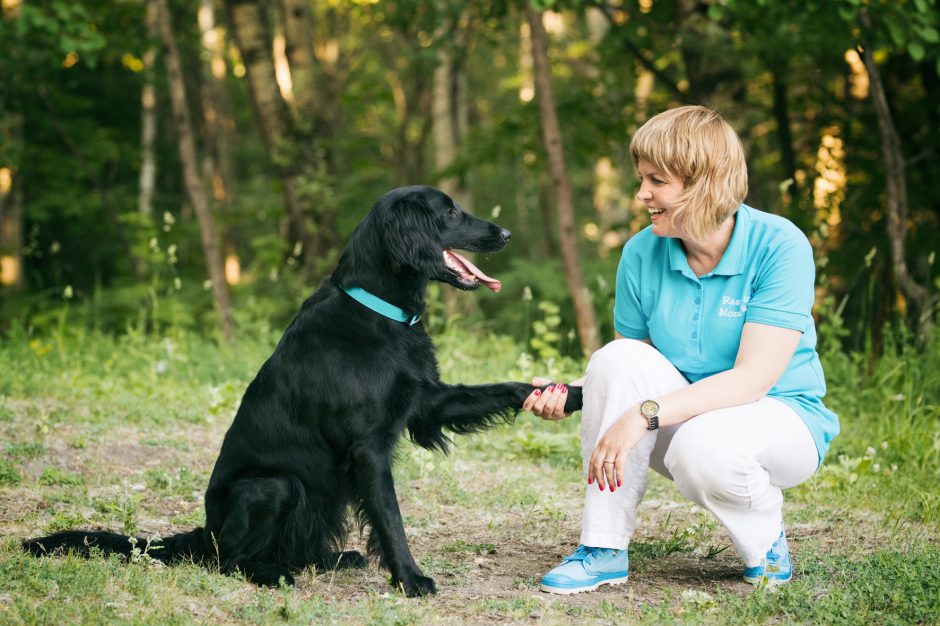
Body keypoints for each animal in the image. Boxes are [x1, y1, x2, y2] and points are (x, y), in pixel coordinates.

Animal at [23, 184, 580, 596]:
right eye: (448, 211)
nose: (505, 232)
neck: (379, 311)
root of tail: (206, 532)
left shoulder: (425, 403)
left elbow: (508, 386)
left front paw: (569, 392)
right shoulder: (369, 448)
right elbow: (391, 518)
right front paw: (410, 578)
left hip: (323, 496)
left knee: (296, 547)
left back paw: (335, 558)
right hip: (275, 485)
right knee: (234, 560)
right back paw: (273, 575)